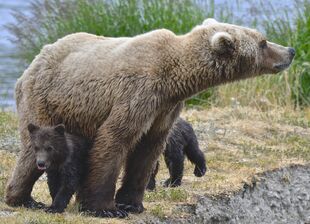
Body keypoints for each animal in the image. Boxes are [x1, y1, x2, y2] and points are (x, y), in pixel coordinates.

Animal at [5, 18, 296, 218]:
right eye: (263, 41)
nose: (291, 50)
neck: (174, 79)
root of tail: (34, 61)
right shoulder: (138, 93)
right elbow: (115, 140)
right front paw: (105, 207)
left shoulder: (164, 109)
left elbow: (147, 150)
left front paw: (132, 203)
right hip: (47, 98)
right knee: (33, 151)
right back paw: (22, 198)